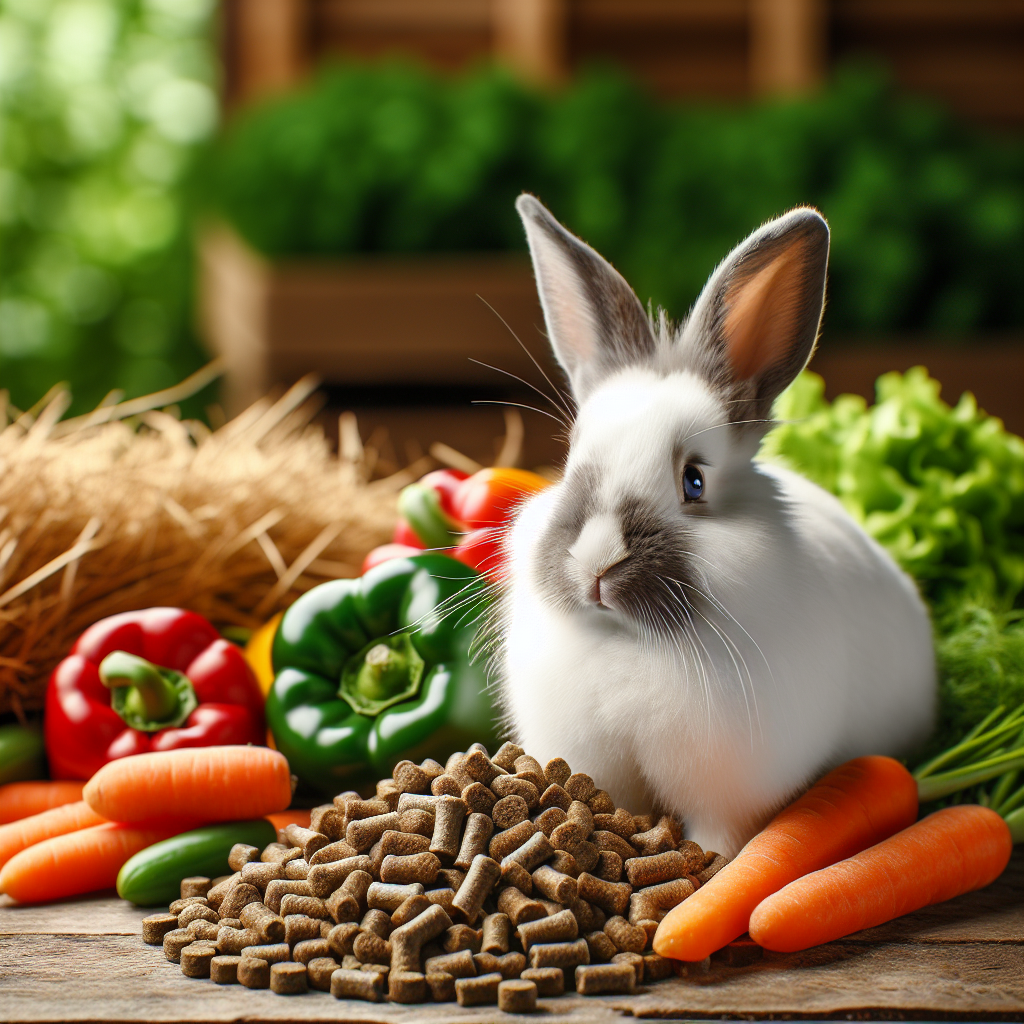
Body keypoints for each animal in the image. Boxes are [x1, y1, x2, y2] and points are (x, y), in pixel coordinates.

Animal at [495, 195, 937, 860]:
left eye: (694, 482)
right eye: (572, 463)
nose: (596, 562)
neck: (629, 640)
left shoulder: (730, 795)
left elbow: (722, 841)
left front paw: (707, 867)